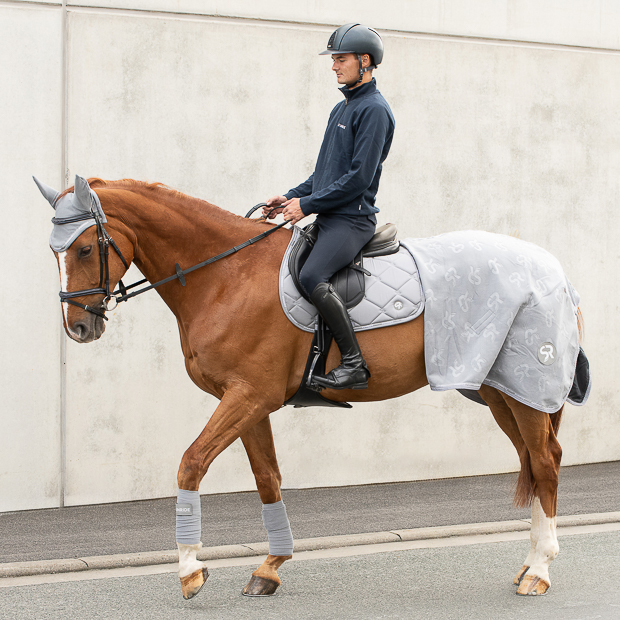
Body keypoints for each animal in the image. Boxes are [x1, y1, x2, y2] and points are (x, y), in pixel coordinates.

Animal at [41, 178, 568, 600]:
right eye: (55, 252)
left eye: (84, 248)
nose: (78, 328)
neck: (225, 275)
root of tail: (550, 267)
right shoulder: (249, 401)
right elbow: (267, 478)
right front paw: (269, 569)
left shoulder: (249, 396)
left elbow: (191, 463)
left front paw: (190, 571)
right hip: (499, 391)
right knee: (534, 458)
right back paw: (529, 563)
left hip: (523, 389)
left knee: (544, 462)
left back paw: (539, 572)